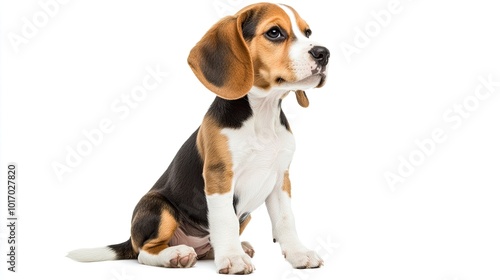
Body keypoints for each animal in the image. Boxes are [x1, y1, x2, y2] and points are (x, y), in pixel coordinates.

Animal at [68, 1, 330, 274]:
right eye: (274, 33)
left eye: (308, 33)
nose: (323, 53)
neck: (262, 116)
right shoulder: (219, 176)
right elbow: (225, 219)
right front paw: (233, 259)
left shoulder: (280, 179)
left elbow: (286, 220)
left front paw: (299, 254)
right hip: (159, 208)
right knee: (145, 251)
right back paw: (177, 255)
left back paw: (235, 248)